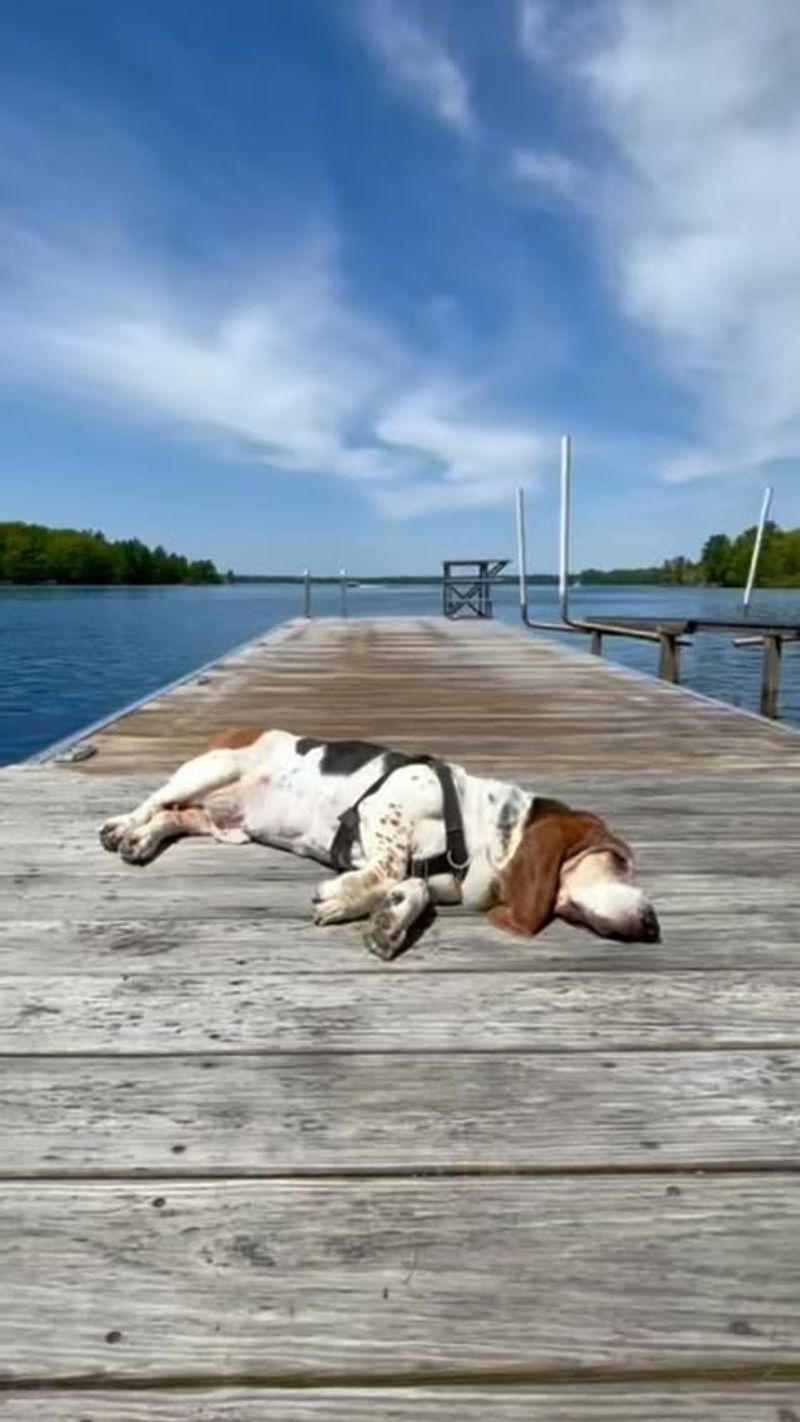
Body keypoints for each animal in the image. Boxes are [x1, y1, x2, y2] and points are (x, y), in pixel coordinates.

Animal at [98, 728, 665, 961]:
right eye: (618, 861)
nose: (654, 924)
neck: (480, 830)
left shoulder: (435, 877)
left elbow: (411, 889)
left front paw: (388, 920)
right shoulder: (383, 807)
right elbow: (391, 869)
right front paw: (347, 896)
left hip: (226, 826)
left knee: (172, 817)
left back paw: (143, 841)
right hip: (210, 768)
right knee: (154, 801)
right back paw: (123, 828)